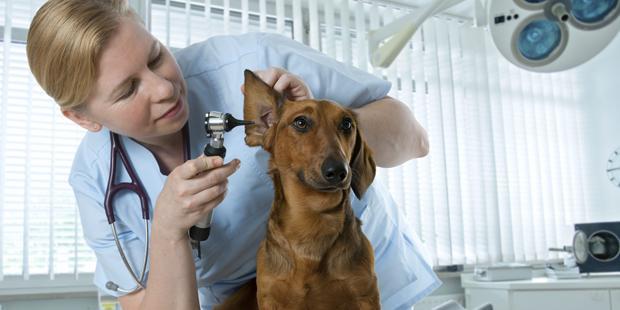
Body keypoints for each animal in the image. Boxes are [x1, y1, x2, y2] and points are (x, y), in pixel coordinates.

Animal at [231, 69, 380, 310]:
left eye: (347, 124)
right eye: (300, 122)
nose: (338, 171)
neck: (312, 219)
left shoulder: (365, 294)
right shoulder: (269, 296)